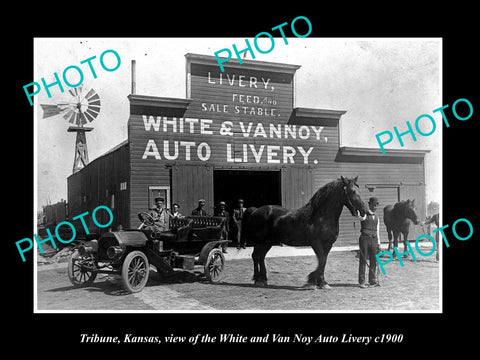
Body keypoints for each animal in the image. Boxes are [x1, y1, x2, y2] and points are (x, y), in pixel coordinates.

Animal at [240, 176, 368, 288]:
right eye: (352, 191)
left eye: (359, 190)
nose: (364, 210)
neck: (321, 217)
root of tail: (255, 210)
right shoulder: (316, 243)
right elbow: (321, 260)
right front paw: (313, 281)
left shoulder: (328, 245)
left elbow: (324, 261)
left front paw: (321, 282)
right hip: (260, 242)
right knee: (256, 256)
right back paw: (258, 280)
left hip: (267, 242)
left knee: (261, 257)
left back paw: (264, 280)